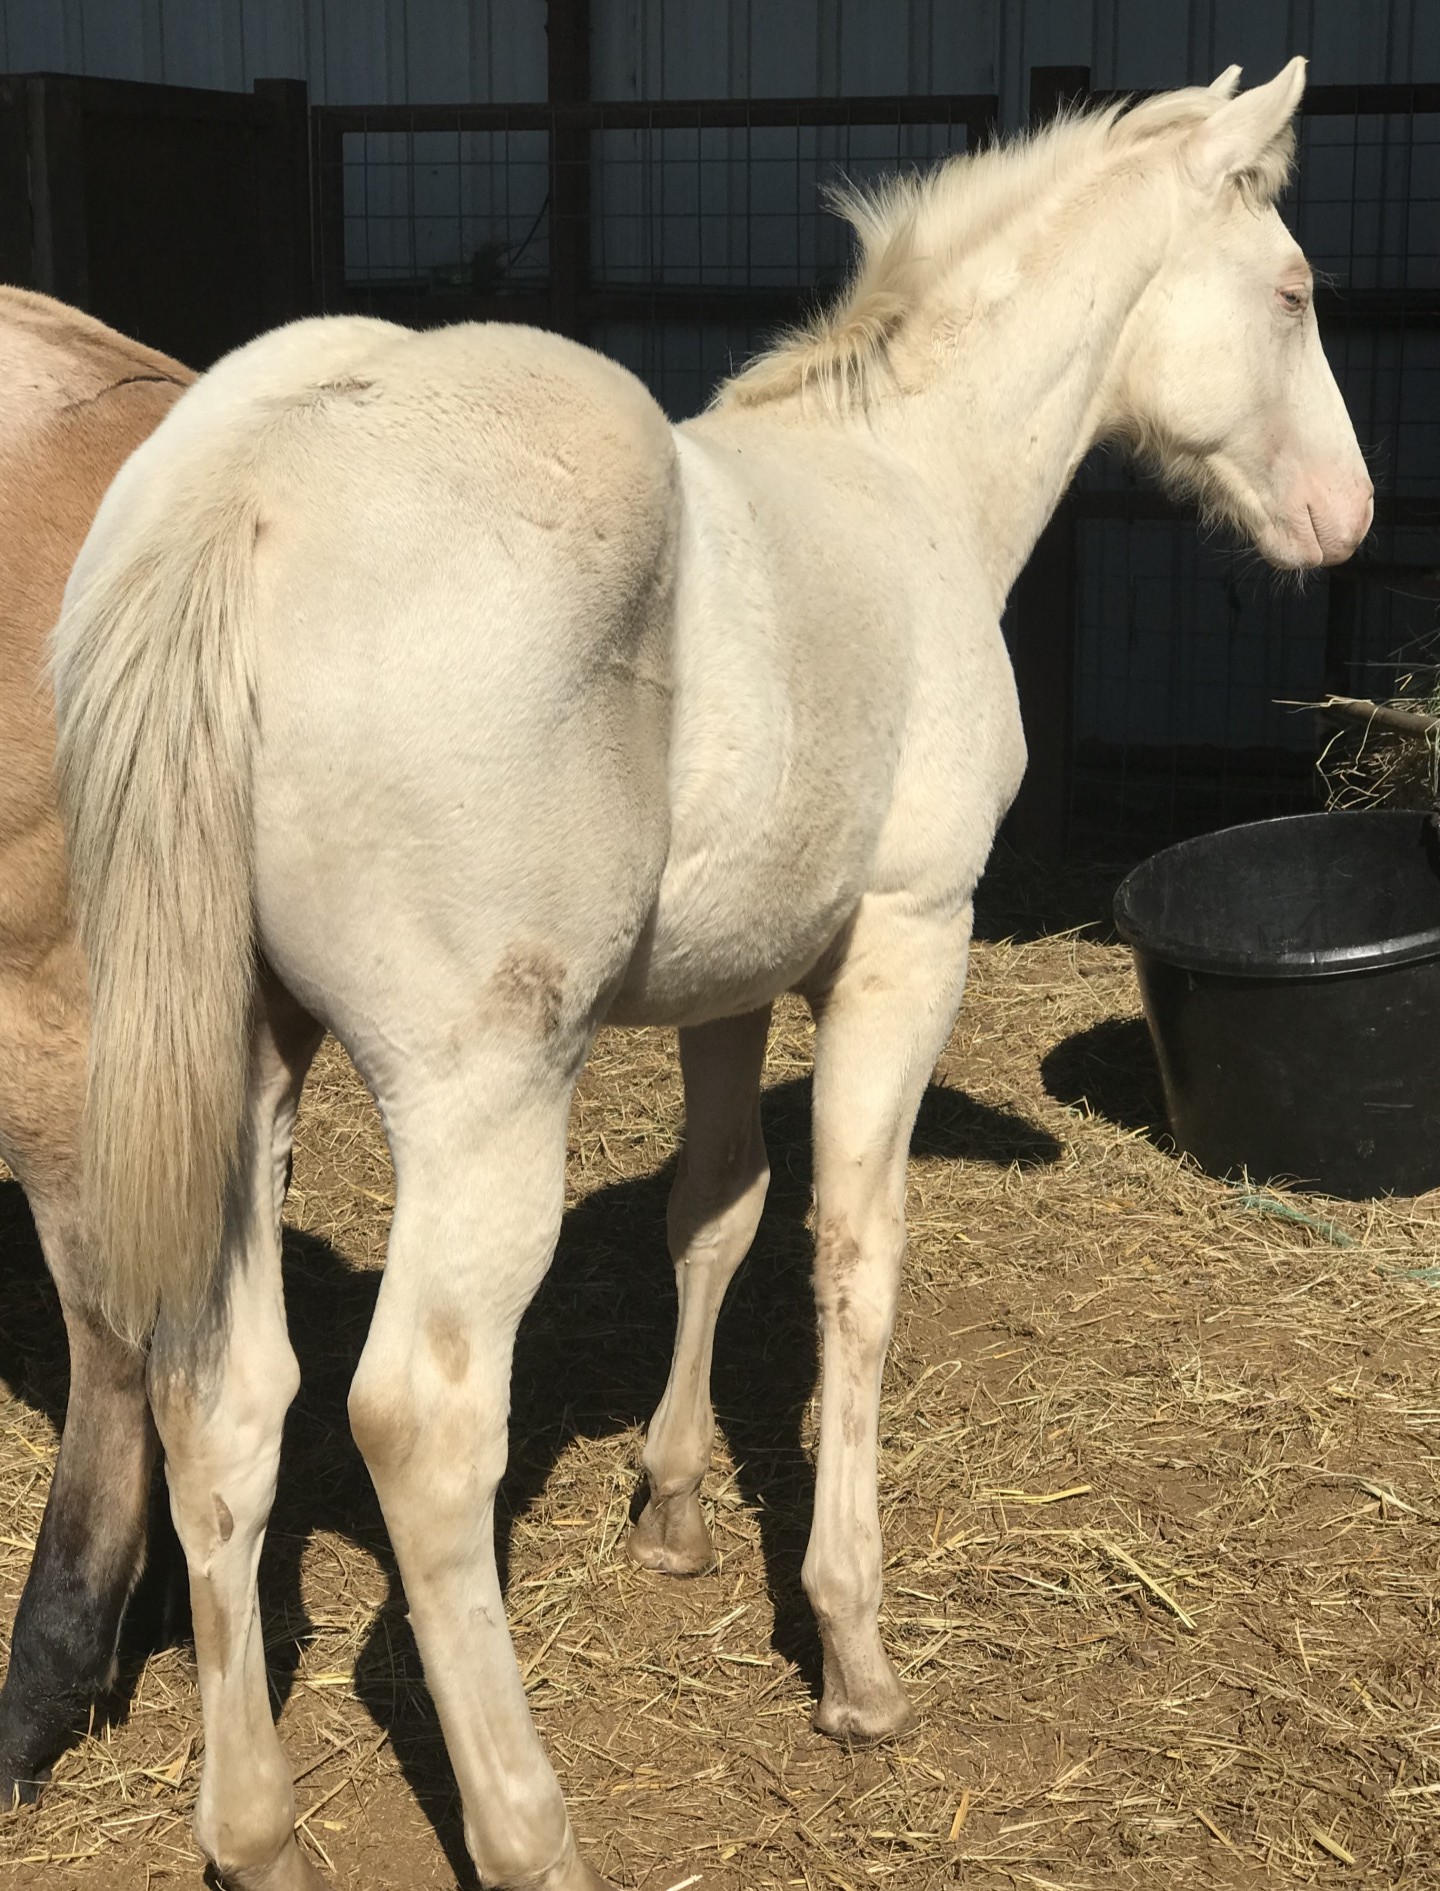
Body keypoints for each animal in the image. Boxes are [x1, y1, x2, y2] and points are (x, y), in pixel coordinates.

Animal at [50, 59, 1360, 1891]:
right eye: (1296, 292)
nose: (1348, 515)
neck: (910, 486)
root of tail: (247, 488)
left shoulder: (733, 981)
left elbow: (716, 1211)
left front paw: (672, 1507)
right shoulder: (909, 935)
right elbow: (854, 1254)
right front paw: (856, 1652)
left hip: (242, 1060)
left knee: (221, 1398)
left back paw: (256, 1826)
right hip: (483, 1093)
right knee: (422, 1424)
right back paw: (529, 1826)